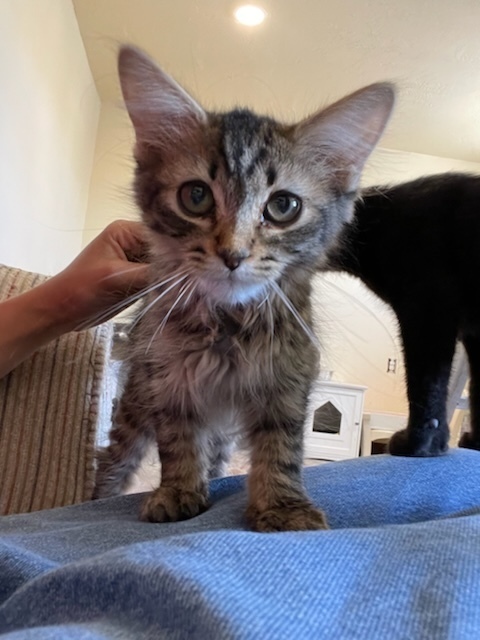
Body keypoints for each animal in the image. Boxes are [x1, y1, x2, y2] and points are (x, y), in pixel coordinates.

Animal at [94, 46, 394, 536]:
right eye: (196, 196)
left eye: (283, 206)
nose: (232, 255)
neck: (227, 326)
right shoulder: (169, 381)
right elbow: (177, 443)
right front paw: (177, 492)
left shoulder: (288, 380)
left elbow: (281, 450)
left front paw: (283, 507)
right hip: (136, 400)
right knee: (114, 459)